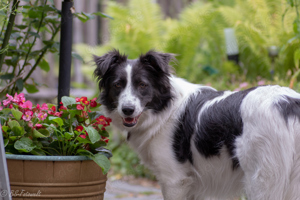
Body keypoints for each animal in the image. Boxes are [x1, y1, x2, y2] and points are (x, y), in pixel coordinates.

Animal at [93, 49, 300, 199]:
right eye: (117, 85)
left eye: (142, 85)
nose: (127, 110)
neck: (165, 109)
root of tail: (289, 104)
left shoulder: (174, 180)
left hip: (262, 181)